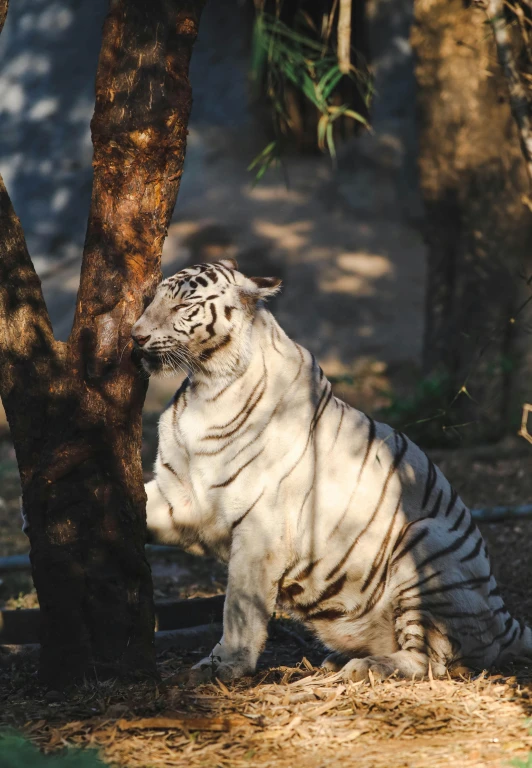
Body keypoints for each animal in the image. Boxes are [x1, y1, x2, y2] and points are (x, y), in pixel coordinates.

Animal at [134, 260, 532, 684]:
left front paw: (223, 665)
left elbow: (240, 606)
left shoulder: (260, 526)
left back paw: (365, 667)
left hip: (425, 541)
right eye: (154, 300)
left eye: (182, 306)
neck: (207, 386)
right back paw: (339, 660)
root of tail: (505, 619)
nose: (135, 336)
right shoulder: (181, 498)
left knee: (433, 660)